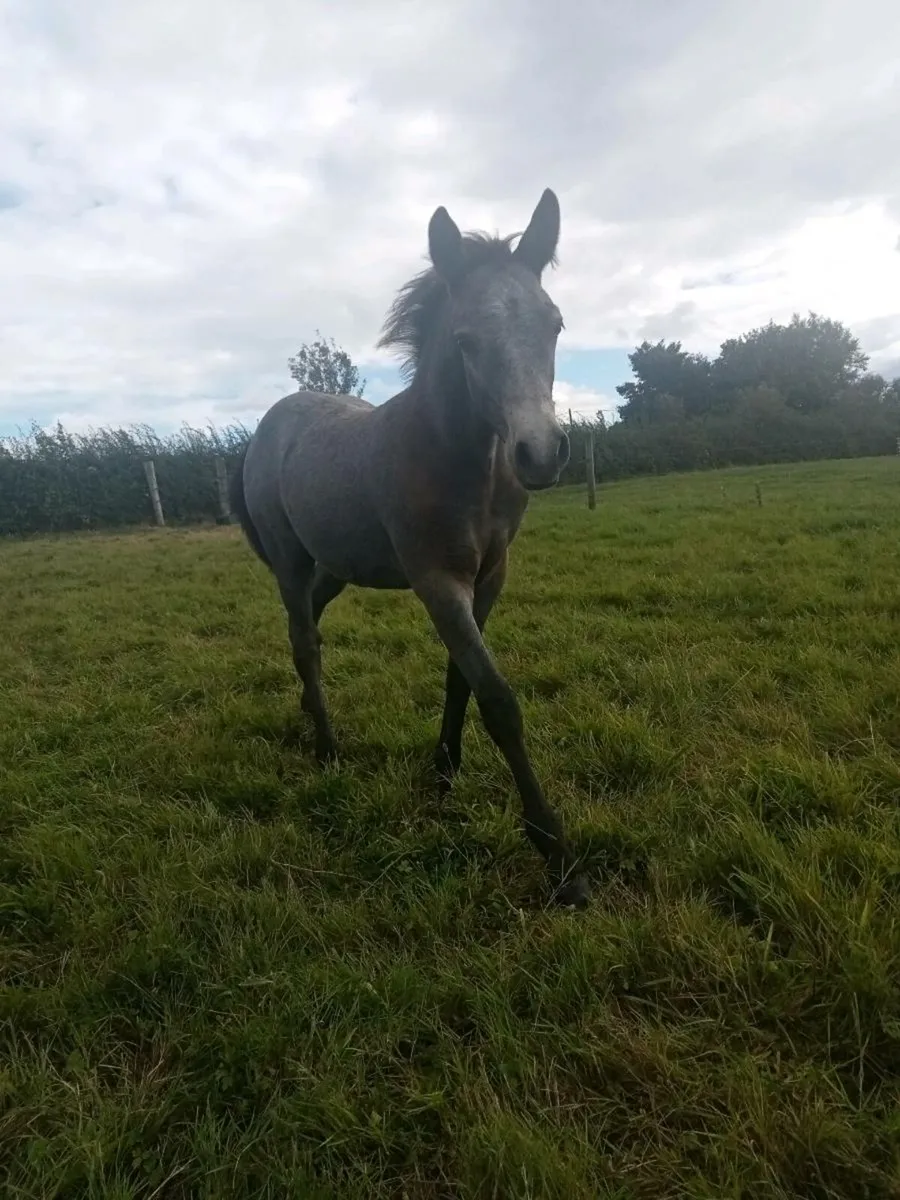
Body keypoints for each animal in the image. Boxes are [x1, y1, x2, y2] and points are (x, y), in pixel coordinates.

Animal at [230, 189, 590, 908]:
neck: (456, 459)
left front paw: (444, 772)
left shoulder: (489, 575)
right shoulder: (435, 580)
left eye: (555, 324)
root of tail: (268, 427)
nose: (539, 453)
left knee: (310, 625)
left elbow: (461, 679)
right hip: (290, 559)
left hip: (337, 565)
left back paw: (307, 711)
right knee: (304, 640)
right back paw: (327, 748)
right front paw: (557, 854)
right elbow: (498, 698)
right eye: (465, 340)